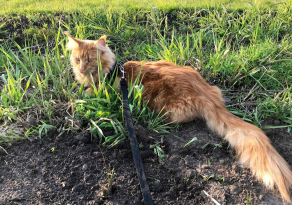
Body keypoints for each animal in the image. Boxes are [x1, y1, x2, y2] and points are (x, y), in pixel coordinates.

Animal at [64, 32, 292, 202]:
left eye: (89, 60)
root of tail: (206, 93)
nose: (81, 68)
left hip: (166, 108)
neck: (112, 71)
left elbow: (79, 98)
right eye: (77, 59)